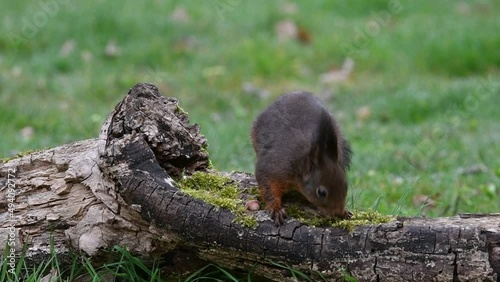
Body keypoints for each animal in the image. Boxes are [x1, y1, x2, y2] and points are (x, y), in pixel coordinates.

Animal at [250, 91, 352, 226]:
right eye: (321, 193)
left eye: (346, 186)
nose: (338, 213)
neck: (300, 165)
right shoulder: (275, 166)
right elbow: (267, 185)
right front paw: (276, 208)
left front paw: (345, 212)